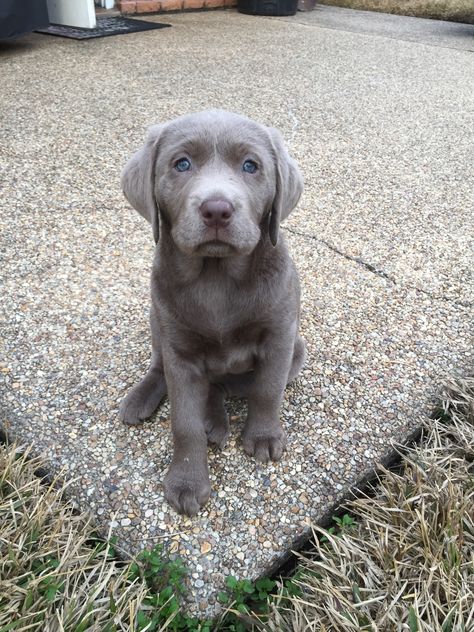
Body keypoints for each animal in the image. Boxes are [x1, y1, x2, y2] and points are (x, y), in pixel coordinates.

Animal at [118, 108, 304, 516]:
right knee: (162, 367)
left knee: (225, 385)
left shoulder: (280, 336)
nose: (216, 209)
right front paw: (187, 483)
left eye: (251, 165)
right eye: (181, 164)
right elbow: (183, 423)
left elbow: (267, 389)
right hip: (157, 322)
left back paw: (214, 419)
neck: (216, 277)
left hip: (298, 352)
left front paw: (264, 437)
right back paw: (143, 400)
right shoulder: (180, 353)